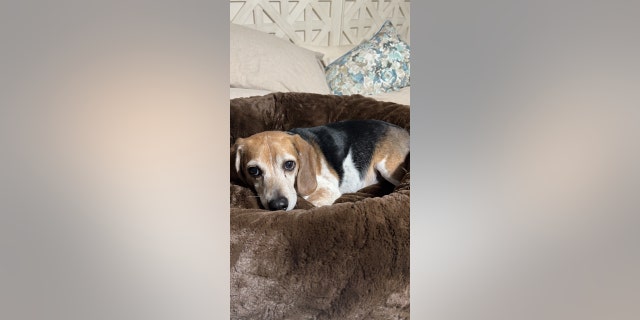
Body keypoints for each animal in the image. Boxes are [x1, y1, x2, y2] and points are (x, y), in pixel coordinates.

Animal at [231, 119, 410, 210]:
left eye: (289, 164)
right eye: (253, 171)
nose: (278, 205)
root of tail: (404, 131)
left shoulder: (328, 190)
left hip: (388, 167)